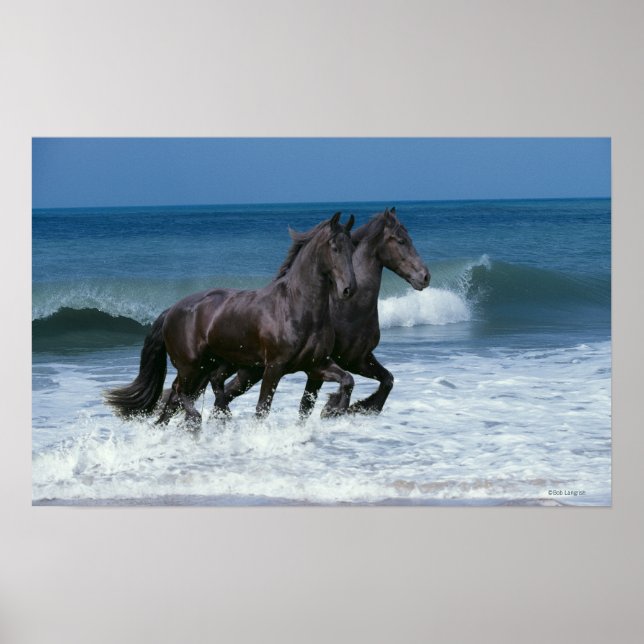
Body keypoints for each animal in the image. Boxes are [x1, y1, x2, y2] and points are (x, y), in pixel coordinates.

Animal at [105, 212, 357, 425]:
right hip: (191, 366)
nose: (349, 289)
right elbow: (262, 409)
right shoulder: (274, 367)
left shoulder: (315, 366)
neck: (297, 309)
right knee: (179, 392)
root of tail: (171, 310)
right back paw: (198, 420)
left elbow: (342, 383)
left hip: (218, 364)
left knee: (194, 391)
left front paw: (333, 409)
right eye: (334, 248)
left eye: (352, 248)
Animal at [221, 207, 430, 417]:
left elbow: (388, 380)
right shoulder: (323, 368)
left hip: (251, 371)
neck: (350, 310)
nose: (425, 276)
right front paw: (332, 408)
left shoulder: (359, 360)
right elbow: (307, 405)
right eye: (400, 240)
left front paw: (358, 407)